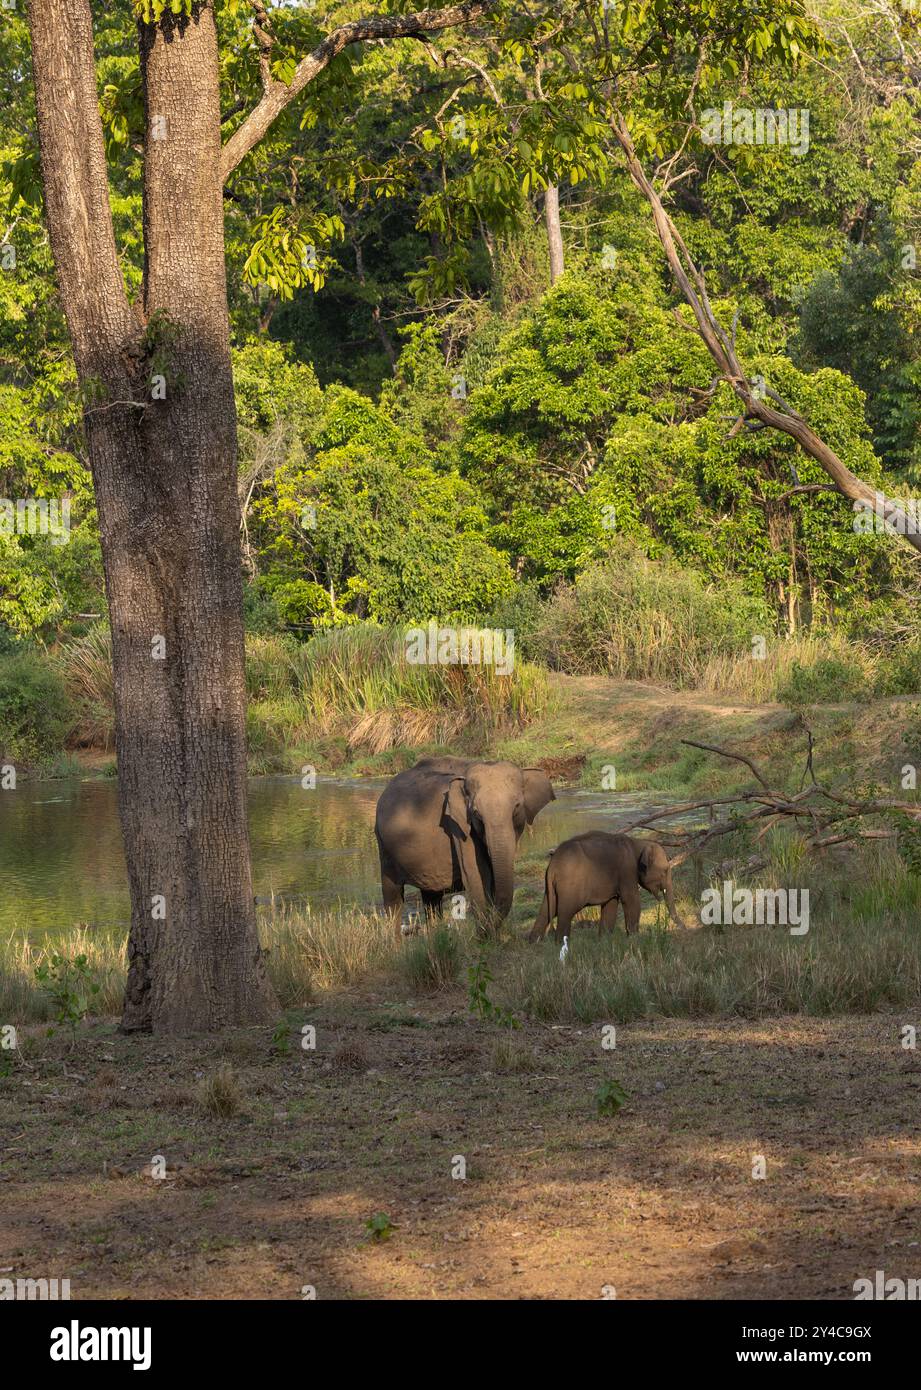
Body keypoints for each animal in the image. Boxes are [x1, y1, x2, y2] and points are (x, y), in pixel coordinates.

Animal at [375, 756, 555, 939]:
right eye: (476, 814)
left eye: (517, 807)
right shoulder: (458, 825)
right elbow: (476, 874)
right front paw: (486, 938)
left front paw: (493, 936)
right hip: (384, 847)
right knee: (393, 897)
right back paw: (396, 943)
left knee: (431, 898)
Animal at [530, 822, 689, 945]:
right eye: (665, 871)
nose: (685, 929)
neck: (637, 843)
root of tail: (552, 865)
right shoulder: (626, 871)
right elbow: (631, 900)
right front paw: (635, 939)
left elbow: (610, 904)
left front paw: (604, 941)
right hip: (570, 886)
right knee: (565, 912)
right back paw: (561, 945)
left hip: (551, 888)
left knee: (546, 910)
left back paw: (534, 943)